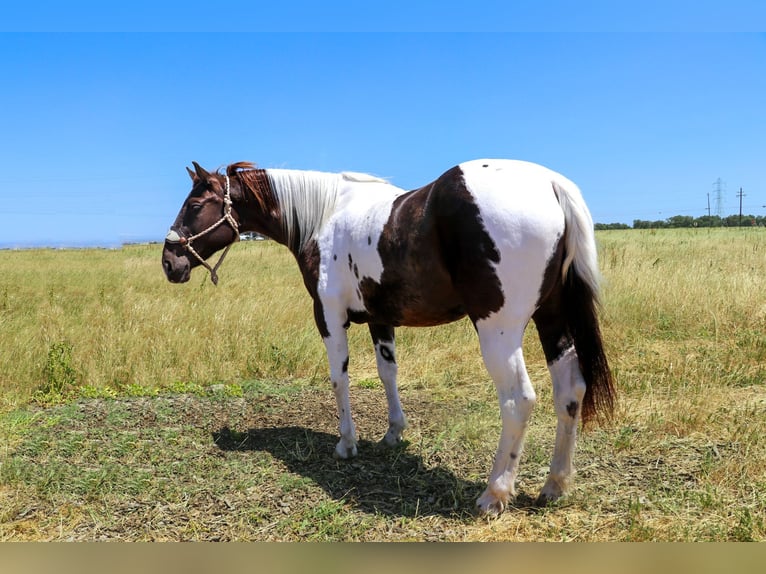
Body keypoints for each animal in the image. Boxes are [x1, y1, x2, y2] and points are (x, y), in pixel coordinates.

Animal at [162, 159, 615, 515]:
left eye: (196, 205)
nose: (169, 261)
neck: (325, 215)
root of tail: (550, 183)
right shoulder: (380, 319)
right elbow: (387, 373)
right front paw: (394, 432)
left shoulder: (328, 316)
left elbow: (339, 378)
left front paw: (347, 442)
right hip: (552, 320)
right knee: (570, 392)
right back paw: (555, 484)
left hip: (498, 331)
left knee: (519, 401)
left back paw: (495, 493)